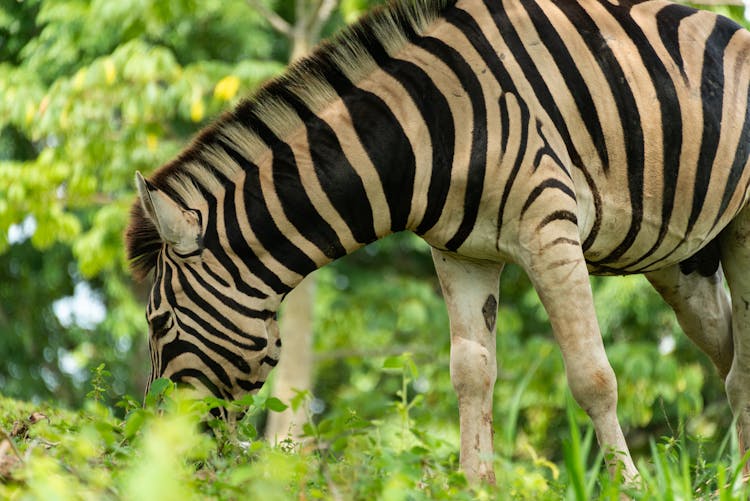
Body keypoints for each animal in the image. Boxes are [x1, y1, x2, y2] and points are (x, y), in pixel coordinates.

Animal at [128, 0, 750, 484]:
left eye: (158, 323)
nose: (163, 454)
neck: (421, 132)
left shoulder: (550, 228)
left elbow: (593, 377)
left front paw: (629, 487)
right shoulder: (462, 255)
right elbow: (471, 376)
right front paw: (475, 486)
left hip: (743, 232)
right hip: (684, 261)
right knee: (727, 354)